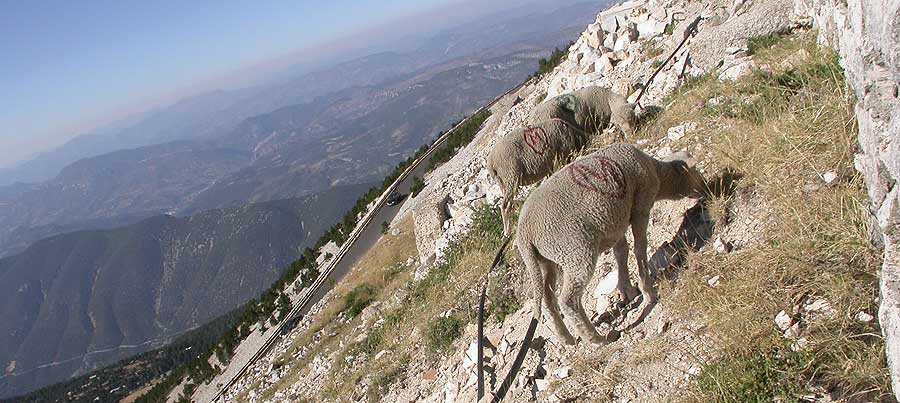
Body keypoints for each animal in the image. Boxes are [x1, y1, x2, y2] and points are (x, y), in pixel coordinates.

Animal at [516, 144, 708, 346]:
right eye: (694, 171)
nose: (709, 188)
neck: (658, 173)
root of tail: (524, 233)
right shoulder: (641, 204)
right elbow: (640, 248)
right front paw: (648, 291)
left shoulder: (616, 221)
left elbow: (621, 252)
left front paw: (626, 290)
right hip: (575, 252)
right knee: (568, 301)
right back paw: (595, 339)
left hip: (545, 261)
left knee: (547, 301)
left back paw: (566, 338)